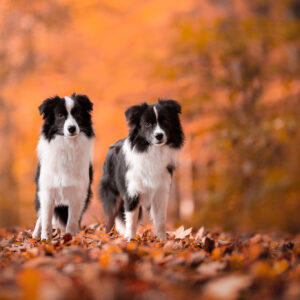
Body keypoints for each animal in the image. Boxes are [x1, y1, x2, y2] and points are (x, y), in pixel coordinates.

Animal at [32, 92, 94, 240]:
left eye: (77, 113)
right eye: (60, 115)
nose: (71, 128)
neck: (67, 146)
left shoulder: (79, 192)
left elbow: (72, 221)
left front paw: (70, 239)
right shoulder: (47, 189)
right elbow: (46, 218)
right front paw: (45, 239)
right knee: (41, 215)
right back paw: (35, 234)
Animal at [99, 99, 183, 240]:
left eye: (165, 121)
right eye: (147, 124)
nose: (159, 135)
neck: (152, 151)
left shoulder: (161, 191)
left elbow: (161, 221)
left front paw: (163, 241)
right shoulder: (132, 191)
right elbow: (131, 220)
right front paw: (130, 239)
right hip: (112, 196)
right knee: (110, 219)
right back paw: (108, 237)